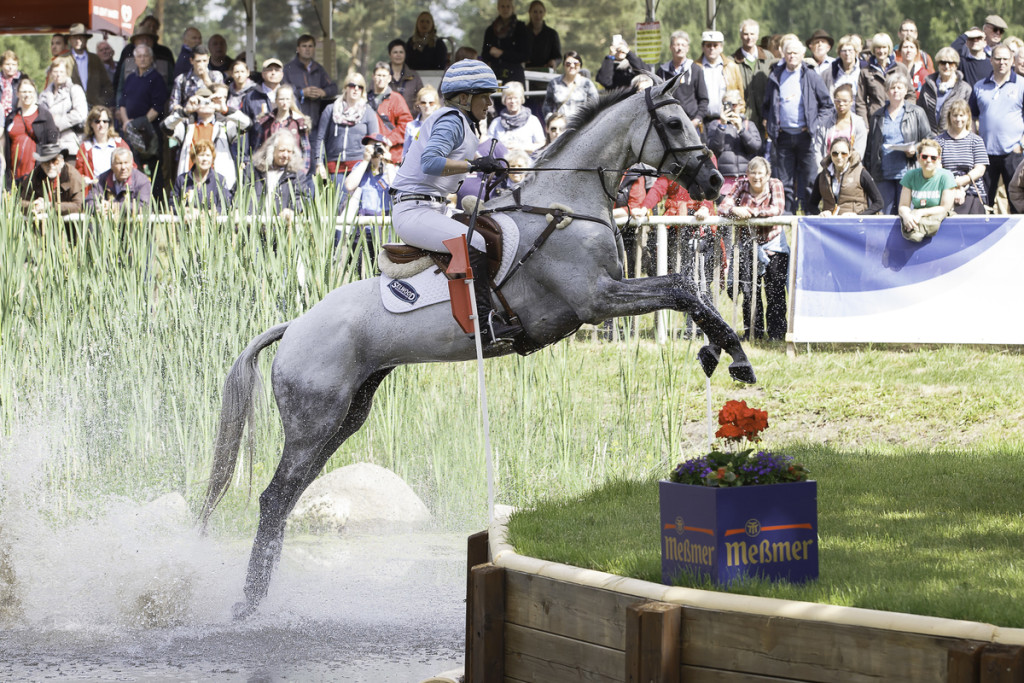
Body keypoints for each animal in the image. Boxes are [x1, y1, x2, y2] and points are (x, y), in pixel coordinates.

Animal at [201, 74, 753, 618]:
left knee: (289, 494)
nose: (714, 182)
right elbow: (683, 287)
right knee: (275, 497)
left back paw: (259, 593)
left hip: (346, 415)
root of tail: (294, 328)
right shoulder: (596, 300)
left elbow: (684, 287)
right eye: (676, 123)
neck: (567, 206)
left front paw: (717, 352)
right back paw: (249, 602)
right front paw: (734, 357)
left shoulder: (606, 296)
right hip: (314, 419)